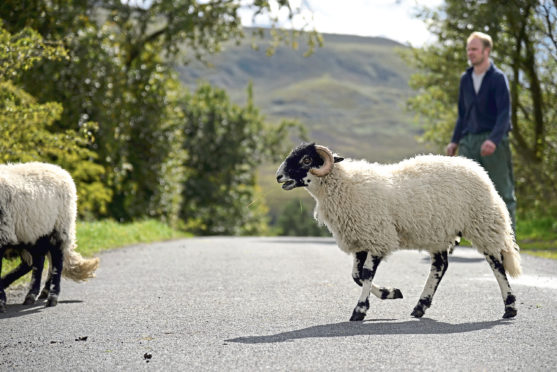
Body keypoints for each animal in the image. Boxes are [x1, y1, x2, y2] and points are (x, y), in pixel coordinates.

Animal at [0, 162, 99, 310]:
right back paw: (32, 294)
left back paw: (52, 297)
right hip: (34, 232)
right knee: (37, 262)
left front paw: (1, 300)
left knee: (56, 260)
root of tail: (60, 170)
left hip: (59, 226)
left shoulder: (3, 233)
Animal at [276, 142, 520, 320]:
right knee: (440, 266)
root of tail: (476, 168)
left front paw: (360, 310)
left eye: (307, 159)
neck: (344, 185)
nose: (279, 176)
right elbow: (356, 275)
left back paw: (510, 307)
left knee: (496, 263)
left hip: (482, 223)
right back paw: (420, 306)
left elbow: (366, 274)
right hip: (439, 233)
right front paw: (391, 293)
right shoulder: (361, 239)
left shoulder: (378, 237)